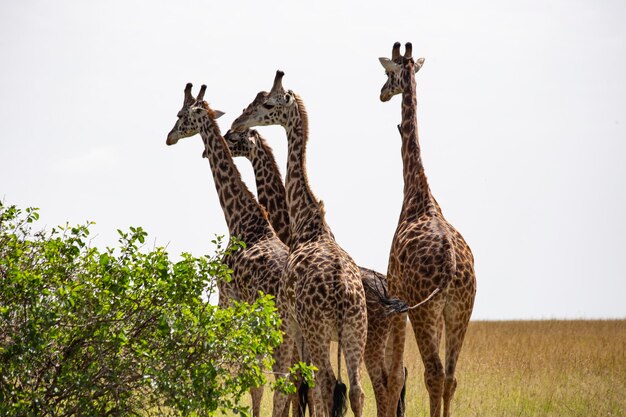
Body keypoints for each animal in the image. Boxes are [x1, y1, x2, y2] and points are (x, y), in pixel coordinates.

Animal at [166, 83, 298, 416]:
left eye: (180, 115)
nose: (169, 137)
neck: (240, 218)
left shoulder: (227, 297)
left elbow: (235, 369)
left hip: (283, 330)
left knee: (284, 382)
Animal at [223, 128, 410, 416]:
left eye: (236, 137)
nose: (223, 140)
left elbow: (301, 385)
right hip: (389, 339)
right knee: (398, 379)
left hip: (370, 340)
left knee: (379, 385)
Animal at [232, 72, 368, 417]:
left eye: (267, 104)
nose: (238, 122)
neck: (308, 222)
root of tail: (343, 296)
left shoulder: (289, 320)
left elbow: (292, 386)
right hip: (355, 332)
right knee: (356, 390)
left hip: (318, 331)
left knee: (328, 385)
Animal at [378, 43, 476, 417]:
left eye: (387, 73)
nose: (381, 93)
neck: (417, 191)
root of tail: (450, 269)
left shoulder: (396, 290)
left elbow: (393, 373)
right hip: (461, 308)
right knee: (450, 376)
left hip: (425, 309)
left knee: (433, 373)